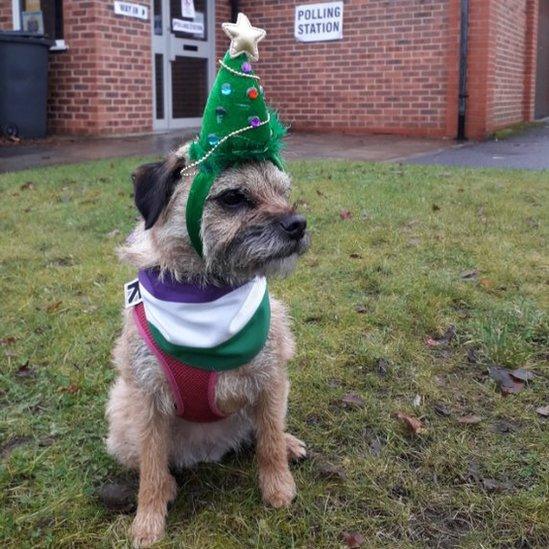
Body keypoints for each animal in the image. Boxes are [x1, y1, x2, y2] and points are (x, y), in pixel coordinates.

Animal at [103, 148, 308, 544]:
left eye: (283, 191)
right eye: (233, 197)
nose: (299, 224)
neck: (205, 291)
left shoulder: (271, 378)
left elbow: (269, 440)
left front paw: (278, 488)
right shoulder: (147, 400)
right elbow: (151, 467)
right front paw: (147, 522)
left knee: (265, 429)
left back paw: (288, 443)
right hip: (122, 412)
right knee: (148, 462)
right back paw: (168, 485)